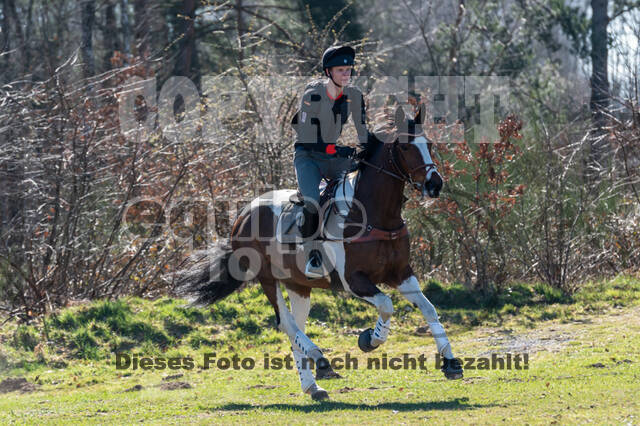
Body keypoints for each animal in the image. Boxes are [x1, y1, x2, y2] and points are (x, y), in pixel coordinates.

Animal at [178, 105, 462, 402]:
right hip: (267, 278)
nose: (435, 184)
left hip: (298, 285)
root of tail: (243, 214)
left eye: (430, 144)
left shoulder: (401, 274)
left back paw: (312, 386)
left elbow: (429, 309)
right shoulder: (354, 280)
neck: (375, 215)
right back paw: (321, 361)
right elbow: (386, 305)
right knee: (286, 324)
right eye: (406, 147)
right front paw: (369, 340)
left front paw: (451, 363)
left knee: (296, 328)